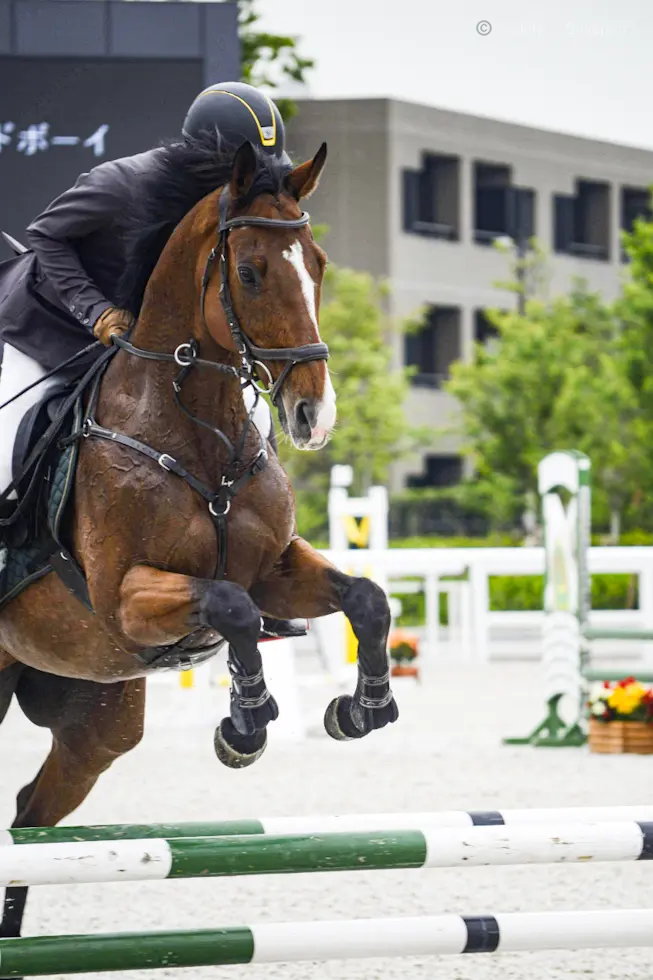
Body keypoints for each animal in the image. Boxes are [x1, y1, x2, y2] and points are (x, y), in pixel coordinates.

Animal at [0, 139, 398, 942]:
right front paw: (245, 724)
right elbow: (230, 609)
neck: (191, 424)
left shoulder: (274, 569)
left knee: (29, 817)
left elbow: (365, 599)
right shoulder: (124, 599)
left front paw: (361, 708)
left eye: (318, 263)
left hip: (97, 717)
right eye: (250, 272)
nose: (313, 415)